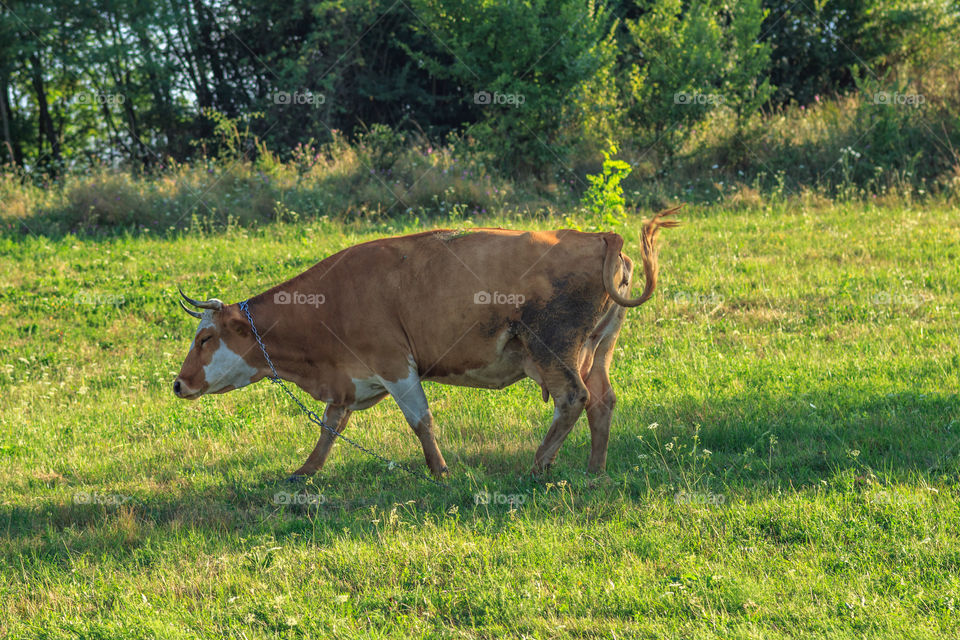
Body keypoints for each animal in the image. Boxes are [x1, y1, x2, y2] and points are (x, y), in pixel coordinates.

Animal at [174, 212, 684, 478]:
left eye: (205, 337)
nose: (179, 384)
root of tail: (599, 236)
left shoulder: (394, 364)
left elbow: (420, 420)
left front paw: (439, 470)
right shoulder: (348, 379)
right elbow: (330, 427)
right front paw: (305, 471)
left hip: (554, 348)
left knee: (573, 399)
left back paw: (539, 464)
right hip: (599, 348)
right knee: (602, 401)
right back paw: (595, 469)